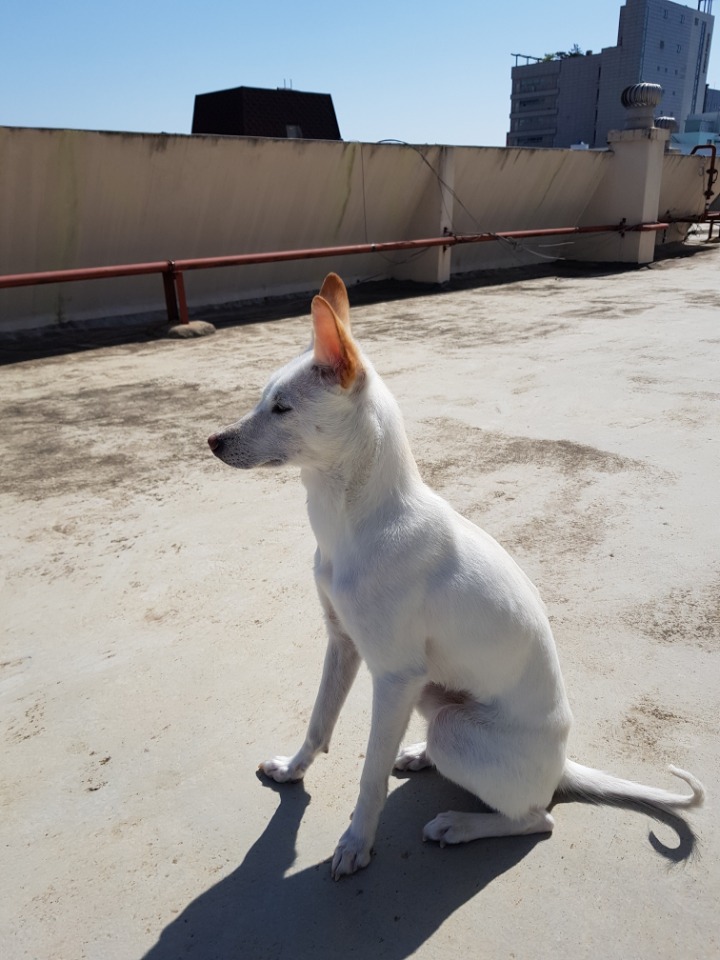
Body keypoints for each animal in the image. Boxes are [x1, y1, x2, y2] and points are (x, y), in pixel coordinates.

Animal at [208, 273, 705, 880]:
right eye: (263, 398)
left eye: (281, 408)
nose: (212, 441)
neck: (359, 520)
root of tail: (562, 766)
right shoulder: (343, 644)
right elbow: (319, 722)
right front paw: (292, 770)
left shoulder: (393, 676)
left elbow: (369, 775)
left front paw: (356, 842)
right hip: (433, 696)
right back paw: (420, 757)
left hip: (450, 726)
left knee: (539, 818)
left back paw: (462, 824)